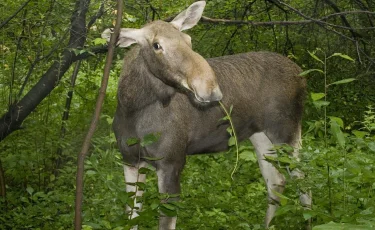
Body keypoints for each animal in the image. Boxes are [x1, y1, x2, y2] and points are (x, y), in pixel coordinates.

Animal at [102, 1, 312, 228]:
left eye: (188, 40)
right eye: (156, 45)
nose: (210, 88)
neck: (132, 110)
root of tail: (302, 76)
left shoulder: (172, 161)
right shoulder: (130, 160)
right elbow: (131, 217)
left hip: (287, 132)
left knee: (305, 180)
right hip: (260, 136)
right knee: (276, 180)